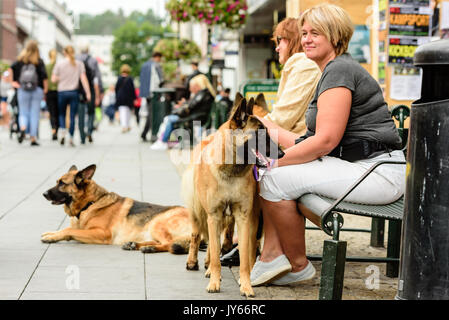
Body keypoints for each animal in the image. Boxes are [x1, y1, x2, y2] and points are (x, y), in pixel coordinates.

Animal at [40, 165, 191, 255]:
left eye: (62, 183)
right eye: (57, 182)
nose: (44, 194)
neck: (90, 203)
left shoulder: (101, 233)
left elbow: (70, 231)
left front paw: (51, 237)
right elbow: (66, 229)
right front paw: (51, 233)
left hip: (157, 223)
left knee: (170, 243)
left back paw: (150, 248)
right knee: (163, 241)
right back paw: (134, 244)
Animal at [181, 94, 284, 296]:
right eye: (261, 133)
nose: (283, 152)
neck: (230, 172)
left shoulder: (245, 218)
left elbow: (245, 255)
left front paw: (246, 284)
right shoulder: (214, 215)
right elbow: (215, 251)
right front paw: (214, 281)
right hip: (200, 212)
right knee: (198, 235)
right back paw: (196, 263)